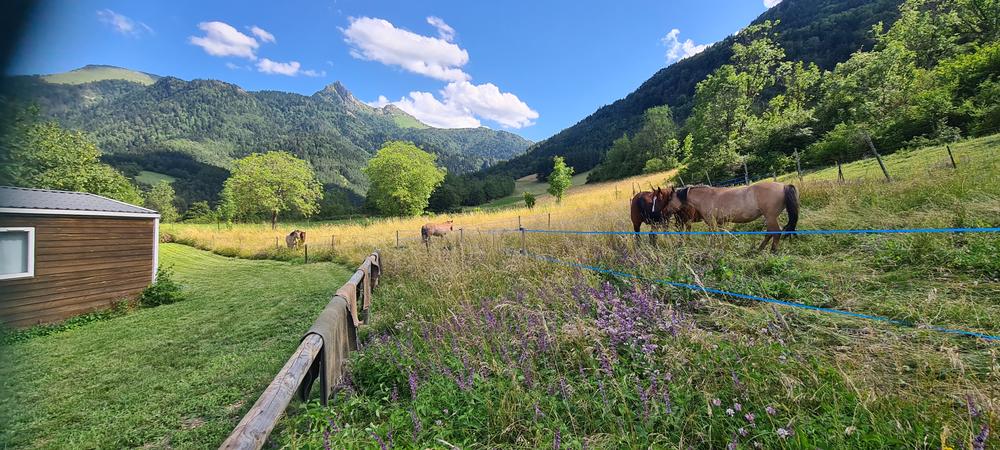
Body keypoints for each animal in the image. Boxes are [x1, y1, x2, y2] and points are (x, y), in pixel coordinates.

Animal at [664, 181, 799, 253]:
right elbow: (721, 236)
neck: (706, 197)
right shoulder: (720, 223)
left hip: (770, 217)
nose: (665, 211)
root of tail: (783, 186)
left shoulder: (712, 223)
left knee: (776, 233)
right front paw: (721, 247)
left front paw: (713, 248)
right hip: (770, 218)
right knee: (770, 233)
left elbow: (713, 236)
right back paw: (759, 249)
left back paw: (772, 251)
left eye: (670, 198)